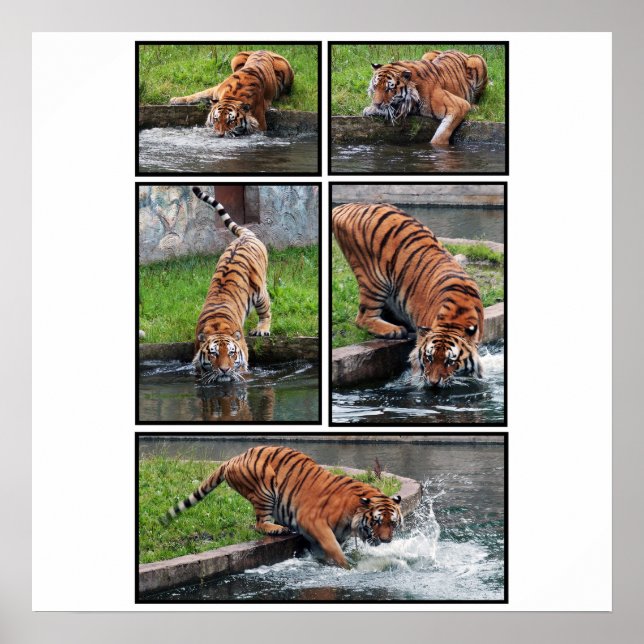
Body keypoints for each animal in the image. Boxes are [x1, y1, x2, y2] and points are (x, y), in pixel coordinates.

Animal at [161, 446, 404, 569]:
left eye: (393, 524)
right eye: (376, 521)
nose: (386, 541)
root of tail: (234, 458)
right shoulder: (313, 520)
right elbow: (333, 548)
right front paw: (347, 567)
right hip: (265, 487)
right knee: (259, 523)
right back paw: (277, 528)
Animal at [191, 187, 271, 383]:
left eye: (232, 353)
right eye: (213, 354)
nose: (224, 370)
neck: (217, 326)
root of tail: (247, 236)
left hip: (260, 293)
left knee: (266, 311)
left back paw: (262, 329)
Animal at [332, 203, 484, 387]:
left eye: (450, 361)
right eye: (429, 358)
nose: (433, 383)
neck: (455, 318)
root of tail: (344, 207)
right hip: (374, 279)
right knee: (363, 318)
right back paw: (395, 330)